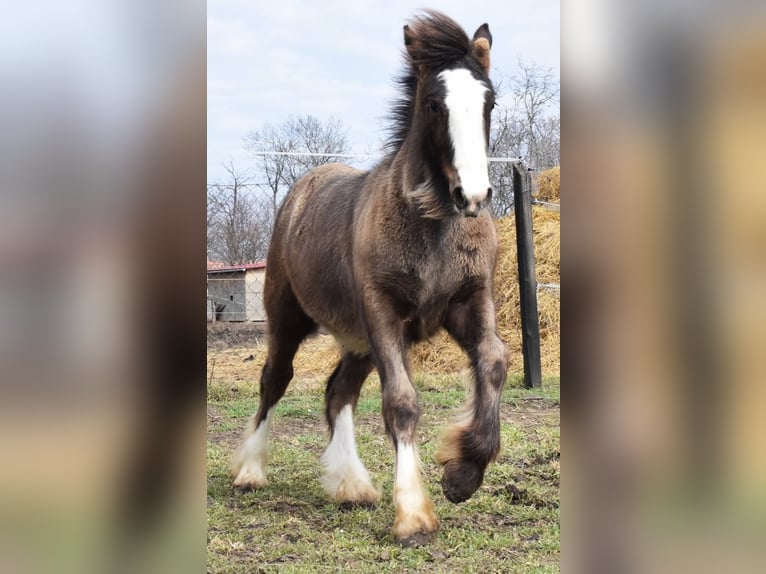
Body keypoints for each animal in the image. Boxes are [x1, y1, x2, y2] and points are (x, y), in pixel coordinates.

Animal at [234, 10, 510, 548]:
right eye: (433, 104)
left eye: (489, 101)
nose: (473, 195)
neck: (434, 227)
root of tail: (302, 187)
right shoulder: (384, 313)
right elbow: (401, 402)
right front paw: (414, 516)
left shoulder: (469, 302)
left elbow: (493, 364)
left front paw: (461, 476)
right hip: (288, 319)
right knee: (275, 380)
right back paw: (250, 471)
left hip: (357, 338)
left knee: (339, 391)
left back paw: (352, 485)